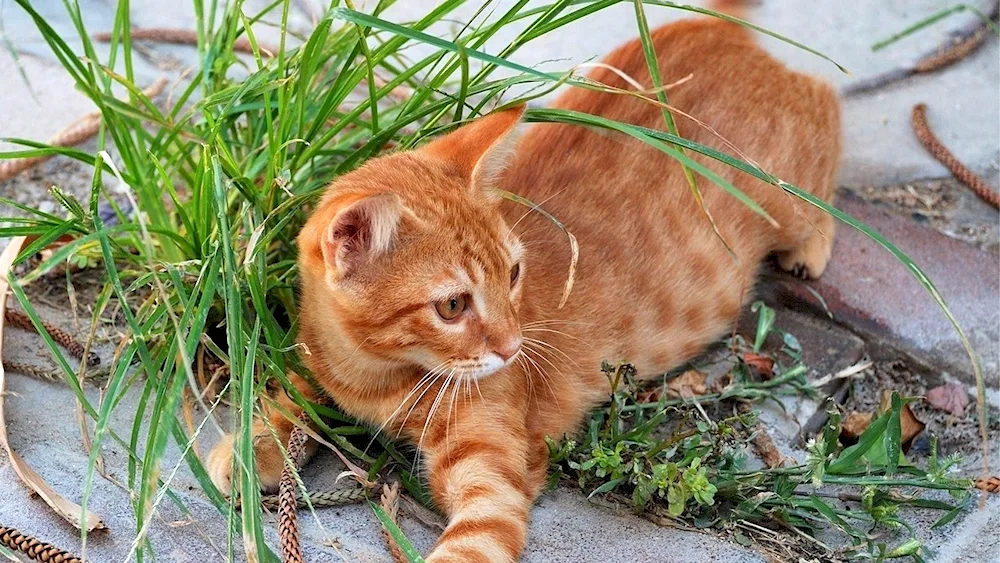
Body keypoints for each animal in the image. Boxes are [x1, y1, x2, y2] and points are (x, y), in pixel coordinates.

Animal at [209, 2, 836, 560]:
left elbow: (470, 545)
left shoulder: (493, 483)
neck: (377, 378)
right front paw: (252, 444)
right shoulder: (319, 357)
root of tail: (720, 32)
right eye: (453, 305)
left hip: (786, 191)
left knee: (826, 103)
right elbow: (293, 389)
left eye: (512, 274)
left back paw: (816, 239)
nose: (513, 349)